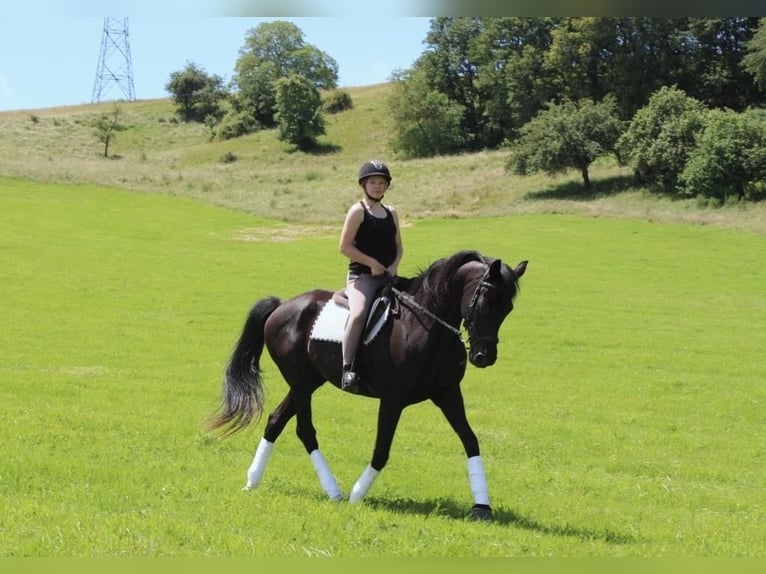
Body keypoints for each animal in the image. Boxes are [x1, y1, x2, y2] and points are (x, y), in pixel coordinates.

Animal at [212, 251, 536, 520]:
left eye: (507, 308)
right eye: (486, 301)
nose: (484, 356)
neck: (428, 327)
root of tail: (283, 307)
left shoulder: (447, 394)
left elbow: (471, 441)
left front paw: (482, 507)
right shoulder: (393, 399)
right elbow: (382, 450)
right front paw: (358, 494)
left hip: (308, 381)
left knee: (276, 420)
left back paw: (252, 480)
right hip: (301, 383)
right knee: (304, 430)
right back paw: (334, 491)